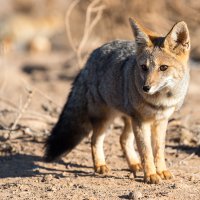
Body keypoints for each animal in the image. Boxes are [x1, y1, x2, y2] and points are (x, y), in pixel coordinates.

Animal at [44, 18, 190, 184]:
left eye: (163, 67)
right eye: (144, 67)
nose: (145, 88)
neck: (161, 101)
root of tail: (93, 54)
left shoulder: (160, 121)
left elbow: (158, 150)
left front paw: (162, 171)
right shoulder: (141, 121)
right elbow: (146, 151)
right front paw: (151, 175)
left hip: (128, 119)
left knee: (123, 139)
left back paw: (134, 164)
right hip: (107, 119)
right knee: (95, 139)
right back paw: (100, 165)